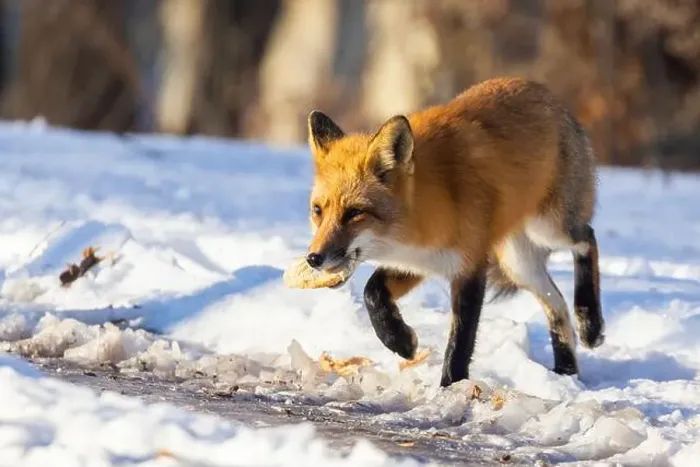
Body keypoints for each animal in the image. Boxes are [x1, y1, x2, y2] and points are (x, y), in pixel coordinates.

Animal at [303, 77, 605, 387]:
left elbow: (460, 341)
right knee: (556, 306)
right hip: (519, 264)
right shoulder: (418, 262)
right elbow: (372, 292)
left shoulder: (470, 267)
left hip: (547, 227)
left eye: (354, 213)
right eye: (318, 211)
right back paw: (566, 370)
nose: (313, 258)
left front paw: (451, 386)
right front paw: (400, 341)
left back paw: (590, 323)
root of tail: (543, 90)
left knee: (587, 239)